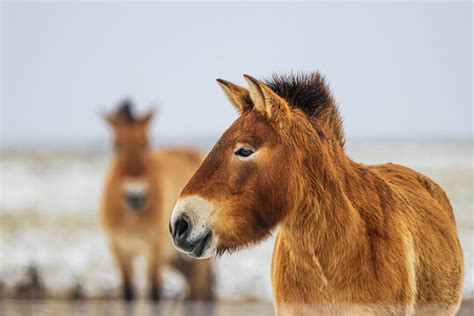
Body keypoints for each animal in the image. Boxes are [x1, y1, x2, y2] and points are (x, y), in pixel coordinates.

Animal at [101, 102, 214, 302]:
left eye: (146, 144)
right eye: (116, 146)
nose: (135, 197)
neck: (132, 216)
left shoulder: (154, 249)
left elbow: (154, 293)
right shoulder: (119, 249)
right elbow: (128, 293)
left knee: (200, 289)